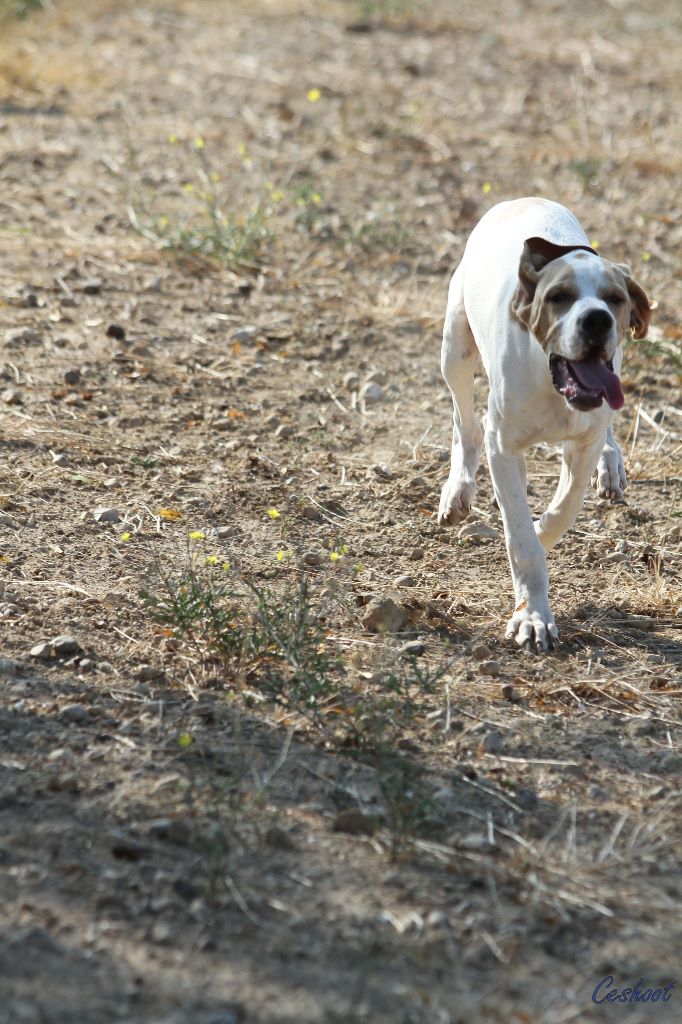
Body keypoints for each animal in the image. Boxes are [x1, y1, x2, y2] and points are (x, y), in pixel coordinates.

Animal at [438, 195, 651, 651]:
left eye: (614, 298)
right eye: (559, 297)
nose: (597, 320)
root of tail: (523, 199)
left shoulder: (583, 442)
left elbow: (563, 510)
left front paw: (543, 529)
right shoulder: (503, 447)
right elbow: (521, 537)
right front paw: (532, 616)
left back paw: (611, 464)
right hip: (455, 349)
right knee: (466, 424)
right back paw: (458, 490)